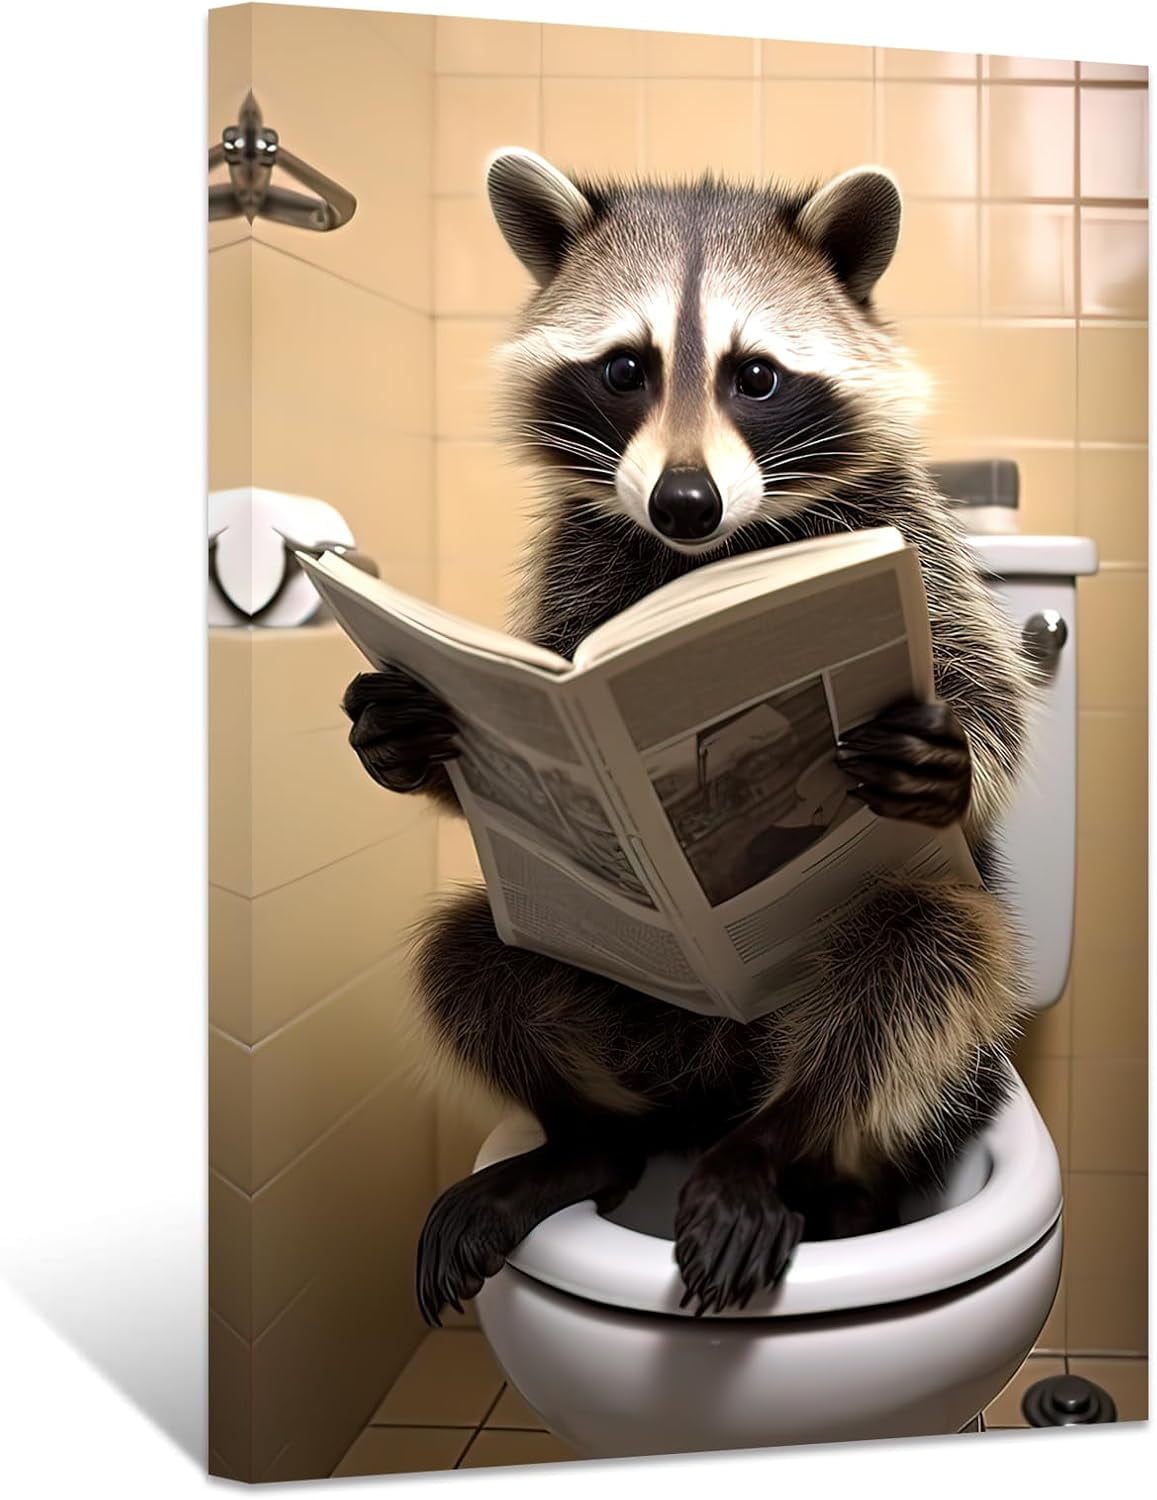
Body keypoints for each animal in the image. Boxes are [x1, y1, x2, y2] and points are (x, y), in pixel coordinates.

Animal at [343, 149, 1039, 1324]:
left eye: (753, 377)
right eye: (625, 368)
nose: (681, 501)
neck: (706, 560)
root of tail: (708, 1091)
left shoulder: (906, 533)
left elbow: (989, 691)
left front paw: (952, 758)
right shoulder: (579, 564)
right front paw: (409, 736)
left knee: (921, 948)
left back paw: (786, 1148)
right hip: (622, 1012)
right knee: (471, 956)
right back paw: (579, 1141)